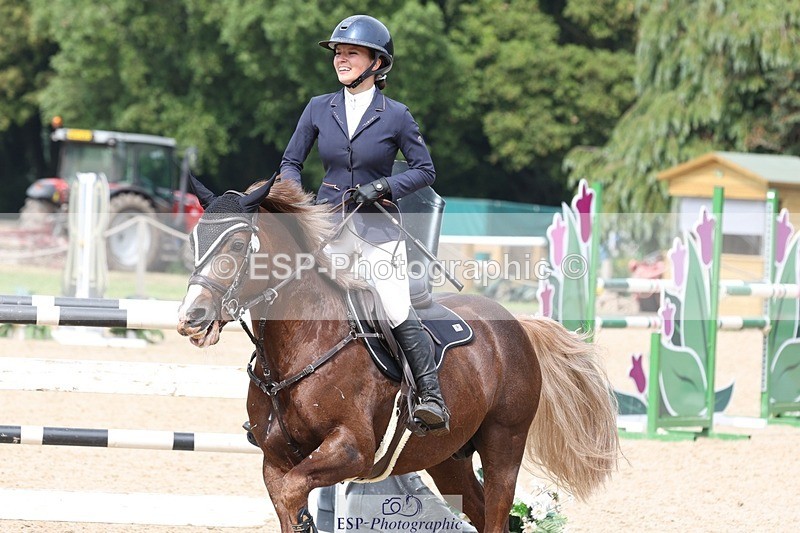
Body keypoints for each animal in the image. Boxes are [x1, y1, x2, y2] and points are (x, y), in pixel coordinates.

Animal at [176, 176, 619, 533]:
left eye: (237, 244)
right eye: (195, 240)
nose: (190, 318)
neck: (301, 344)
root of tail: (515, 322)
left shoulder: (351, 449)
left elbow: (291, 495)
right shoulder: (276, 460)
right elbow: (288, 504)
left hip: (504, 444)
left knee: (496, 514)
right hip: (447, 456)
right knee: (477, 509)